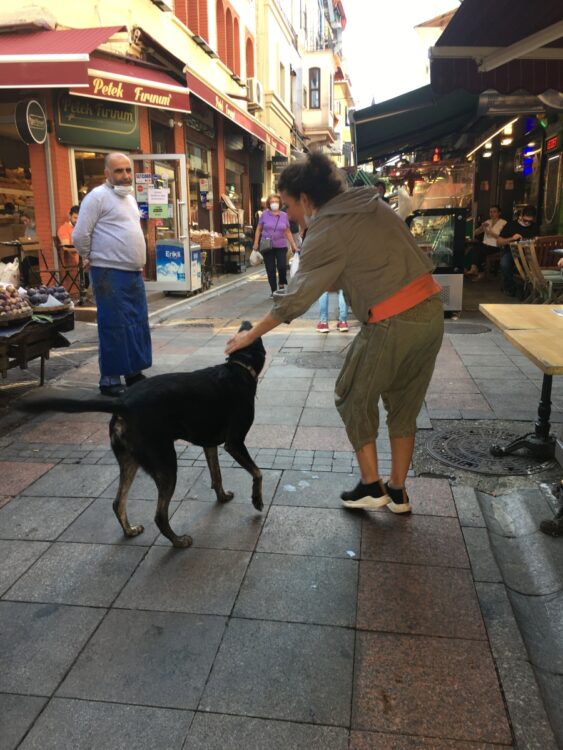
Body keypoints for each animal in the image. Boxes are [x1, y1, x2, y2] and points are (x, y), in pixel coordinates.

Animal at [19, 322, 266, 548]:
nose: (246, 322)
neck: (239, 366)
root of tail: (123, 403)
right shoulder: (234, 443)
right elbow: (258, 472)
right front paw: (257, 500)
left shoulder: (209, 444)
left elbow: (217, 475)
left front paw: (222, 497)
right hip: (165, 463)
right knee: (159, 515)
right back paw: (178, 541)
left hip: (130, 460)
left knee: (118, 502)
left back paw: (129, 531)